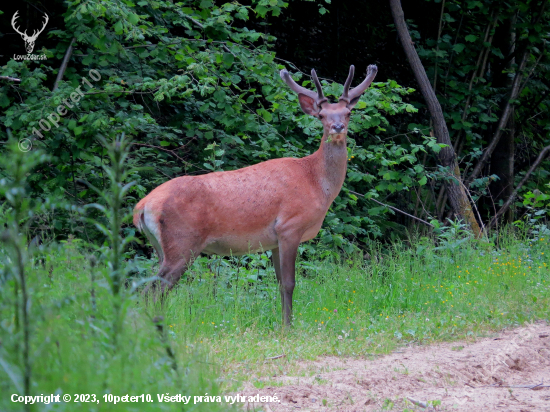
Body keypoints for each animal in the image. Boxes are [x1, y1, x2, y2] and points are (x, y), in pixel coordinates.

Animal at [135, 64, 380, 326]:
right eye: (322, 115)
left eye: (348, 113)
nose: (338, 127)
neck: (316, 183)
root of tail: (142, 206)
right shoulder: (290, 226)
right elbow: (290, 284)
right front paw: (287, 327)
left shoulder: (274, 240)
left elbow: (280, 284)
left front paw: (284, 323)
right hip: (182, 242)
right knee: (152, 290)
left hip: (161, 248)